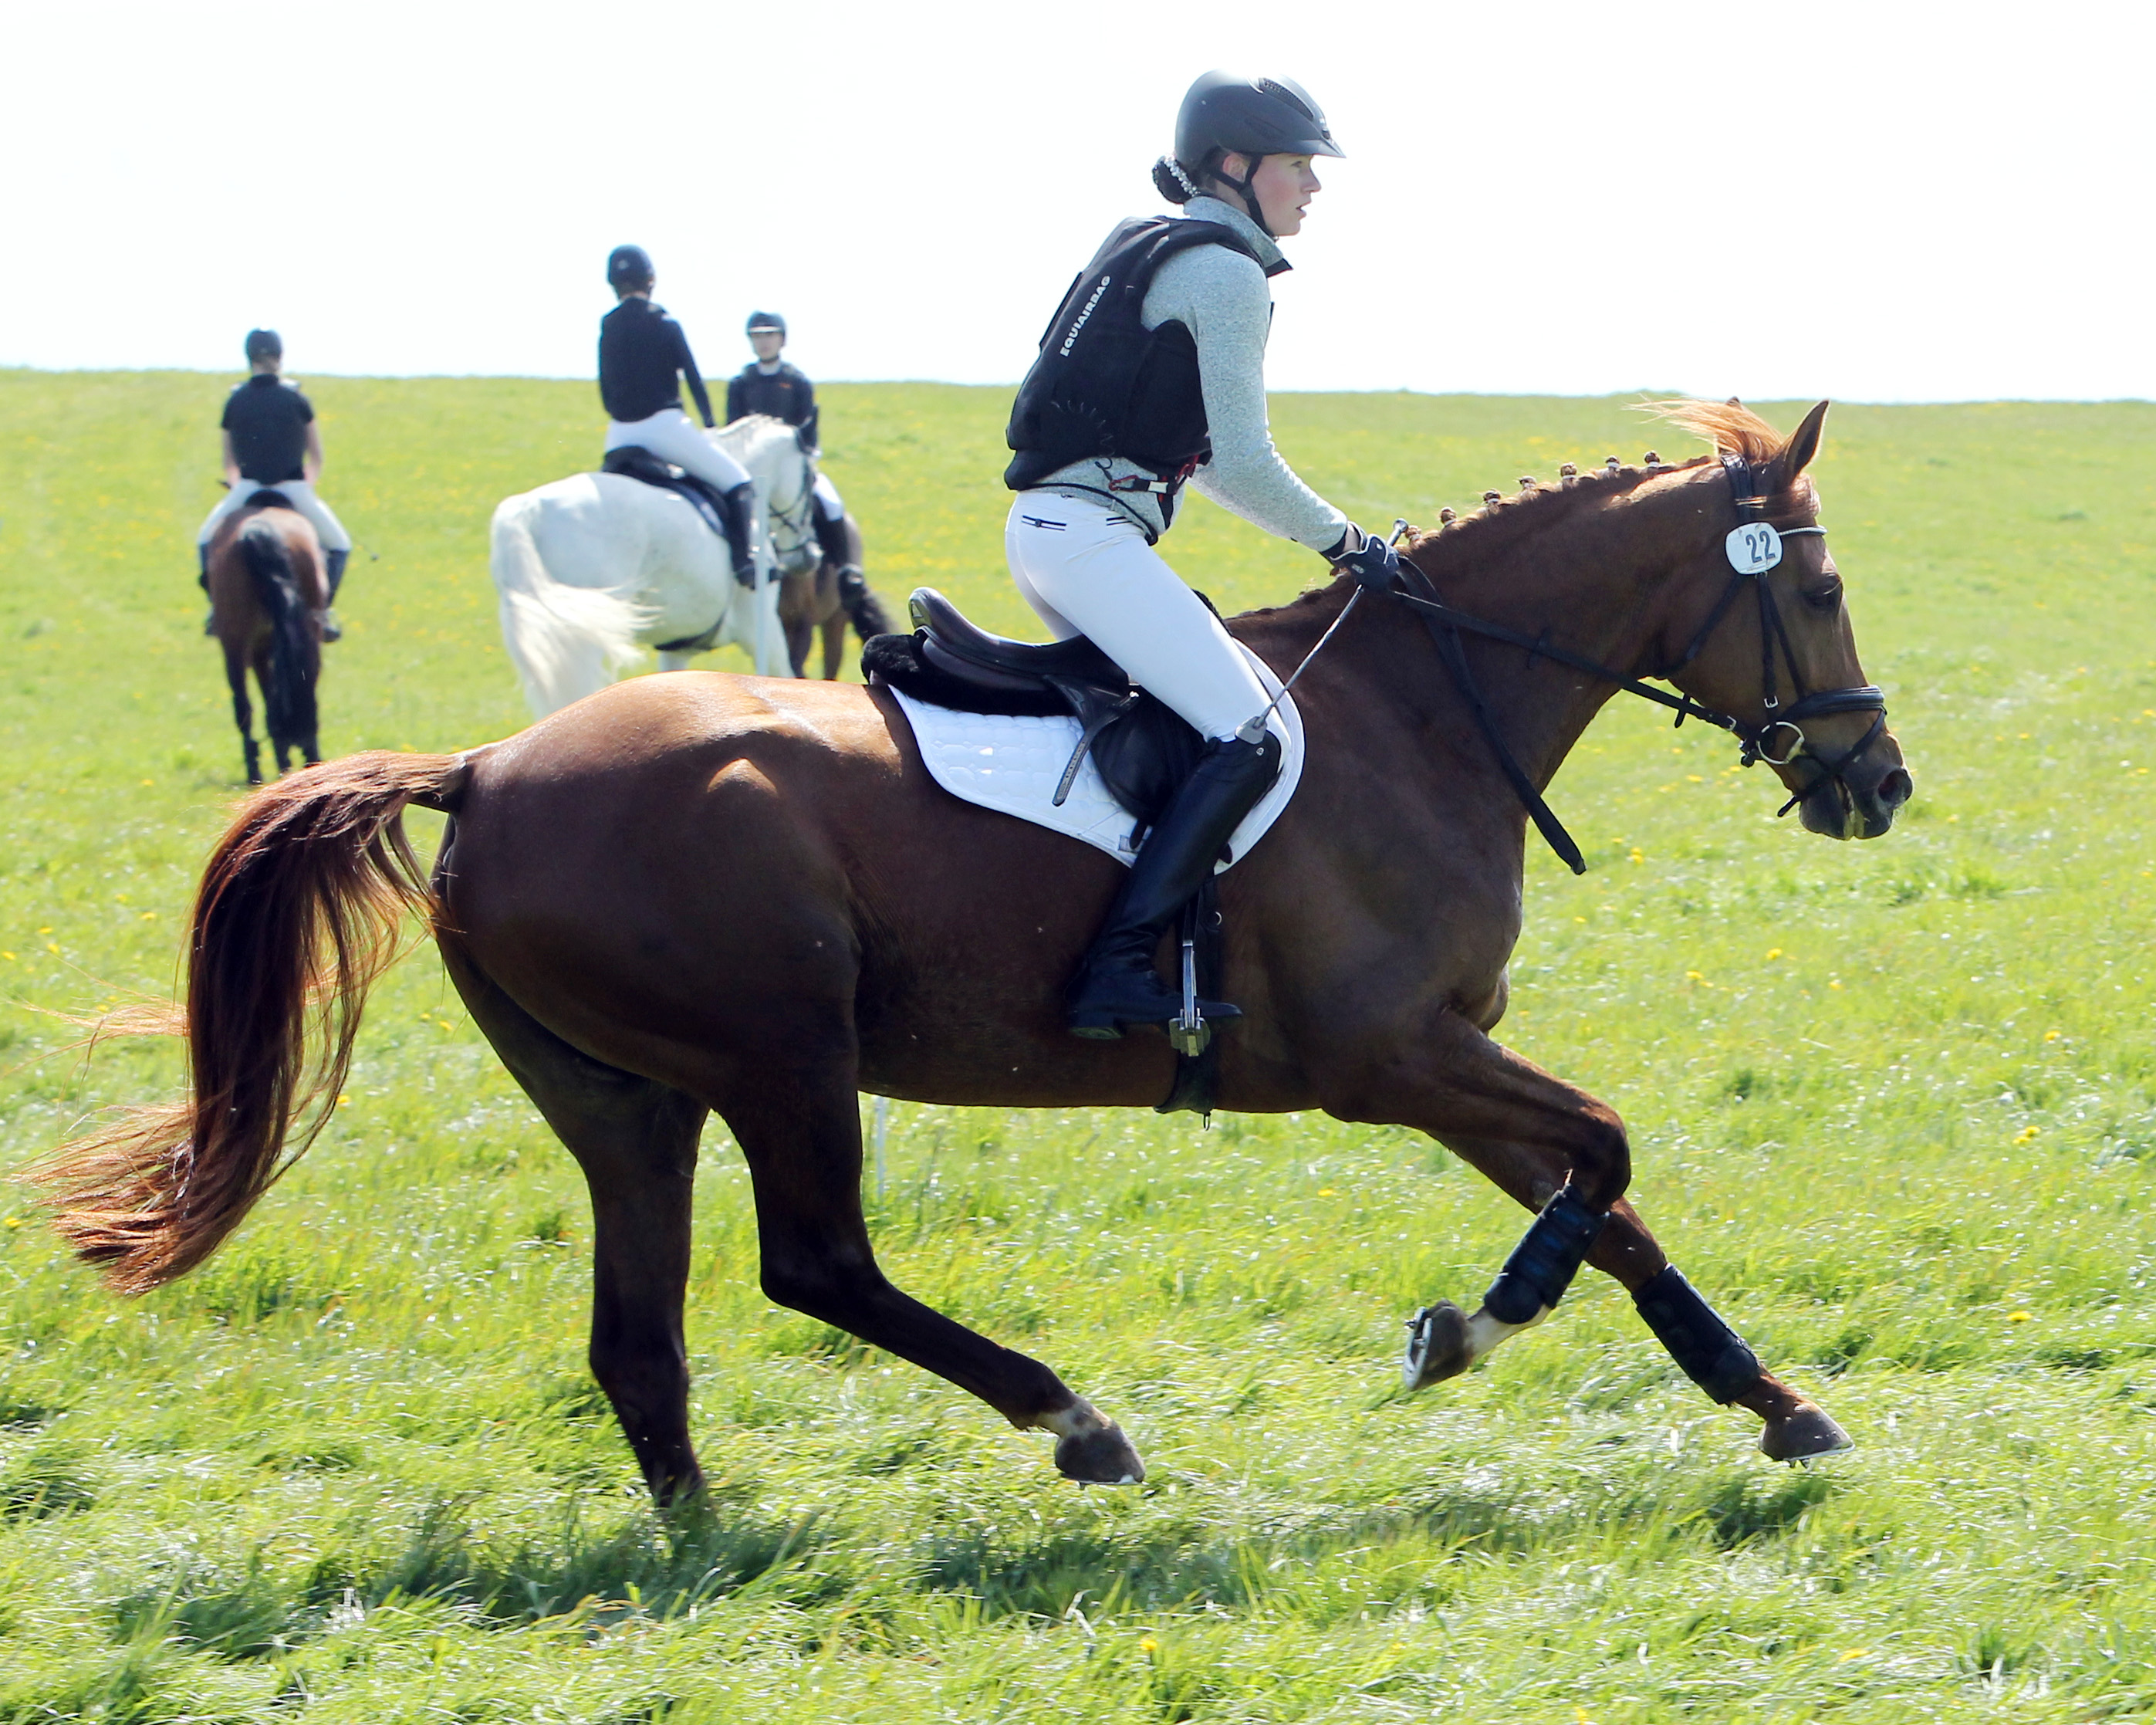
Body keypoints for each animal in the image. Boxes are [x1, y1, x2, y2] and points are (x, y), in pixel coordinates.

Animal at [493, 418, 819, 720]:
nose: (811, 555)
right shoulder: (760, 625)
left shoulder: (678, 646)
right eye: (812, 479)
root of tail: (528, 509)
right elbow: (783, 680)